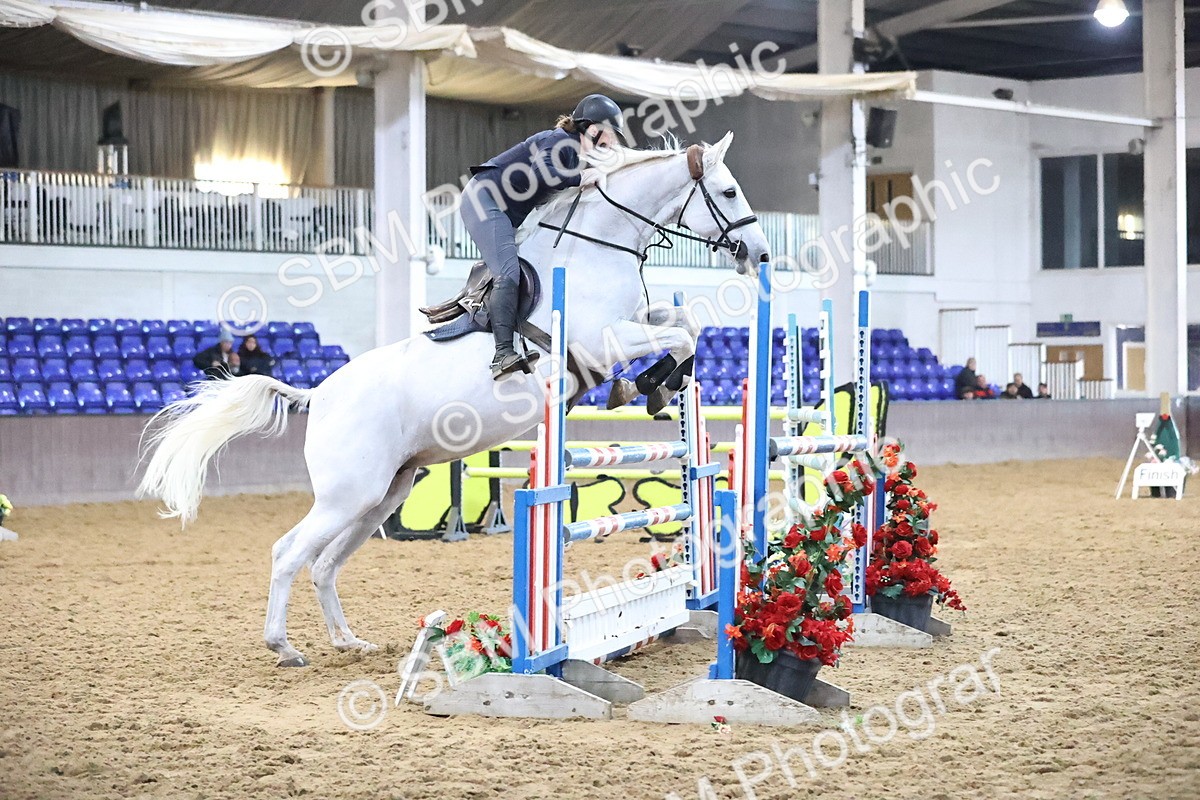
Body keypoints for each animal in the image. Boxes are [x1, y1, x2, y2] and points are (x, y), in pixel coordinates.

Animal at [138, 132, 772, 667]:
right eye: (729, 191)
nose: (760, 255)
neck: (598, 248)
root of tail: (317, 394)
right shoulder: (602, 340)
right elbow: (679, 335)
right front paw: (647, 383)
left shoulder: (634, 322)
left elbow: (682, 321)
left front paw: (655, 384)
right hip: (348, 494)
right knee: (289, 552)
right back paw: (283, 646)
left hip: (382, 495)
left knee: (324, 564)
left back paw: (348, 641)